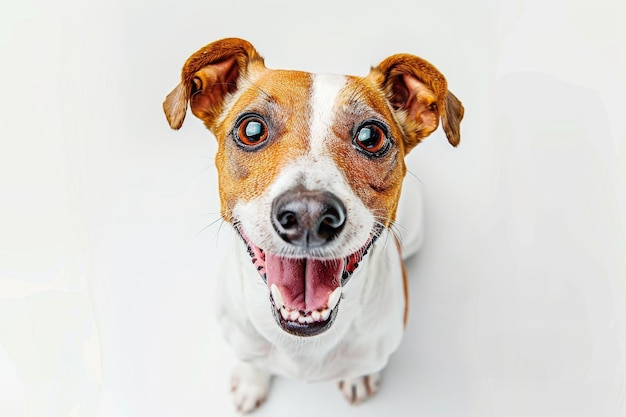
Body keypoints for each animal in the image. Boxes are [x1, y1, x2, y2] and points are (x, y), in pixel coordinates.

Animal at [163, 36, 460, 412]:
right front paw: (251, 379)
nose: (308, 214)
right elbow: (250, 359)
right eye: (252, 129)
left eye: (371, 136)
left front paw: (358, 378)